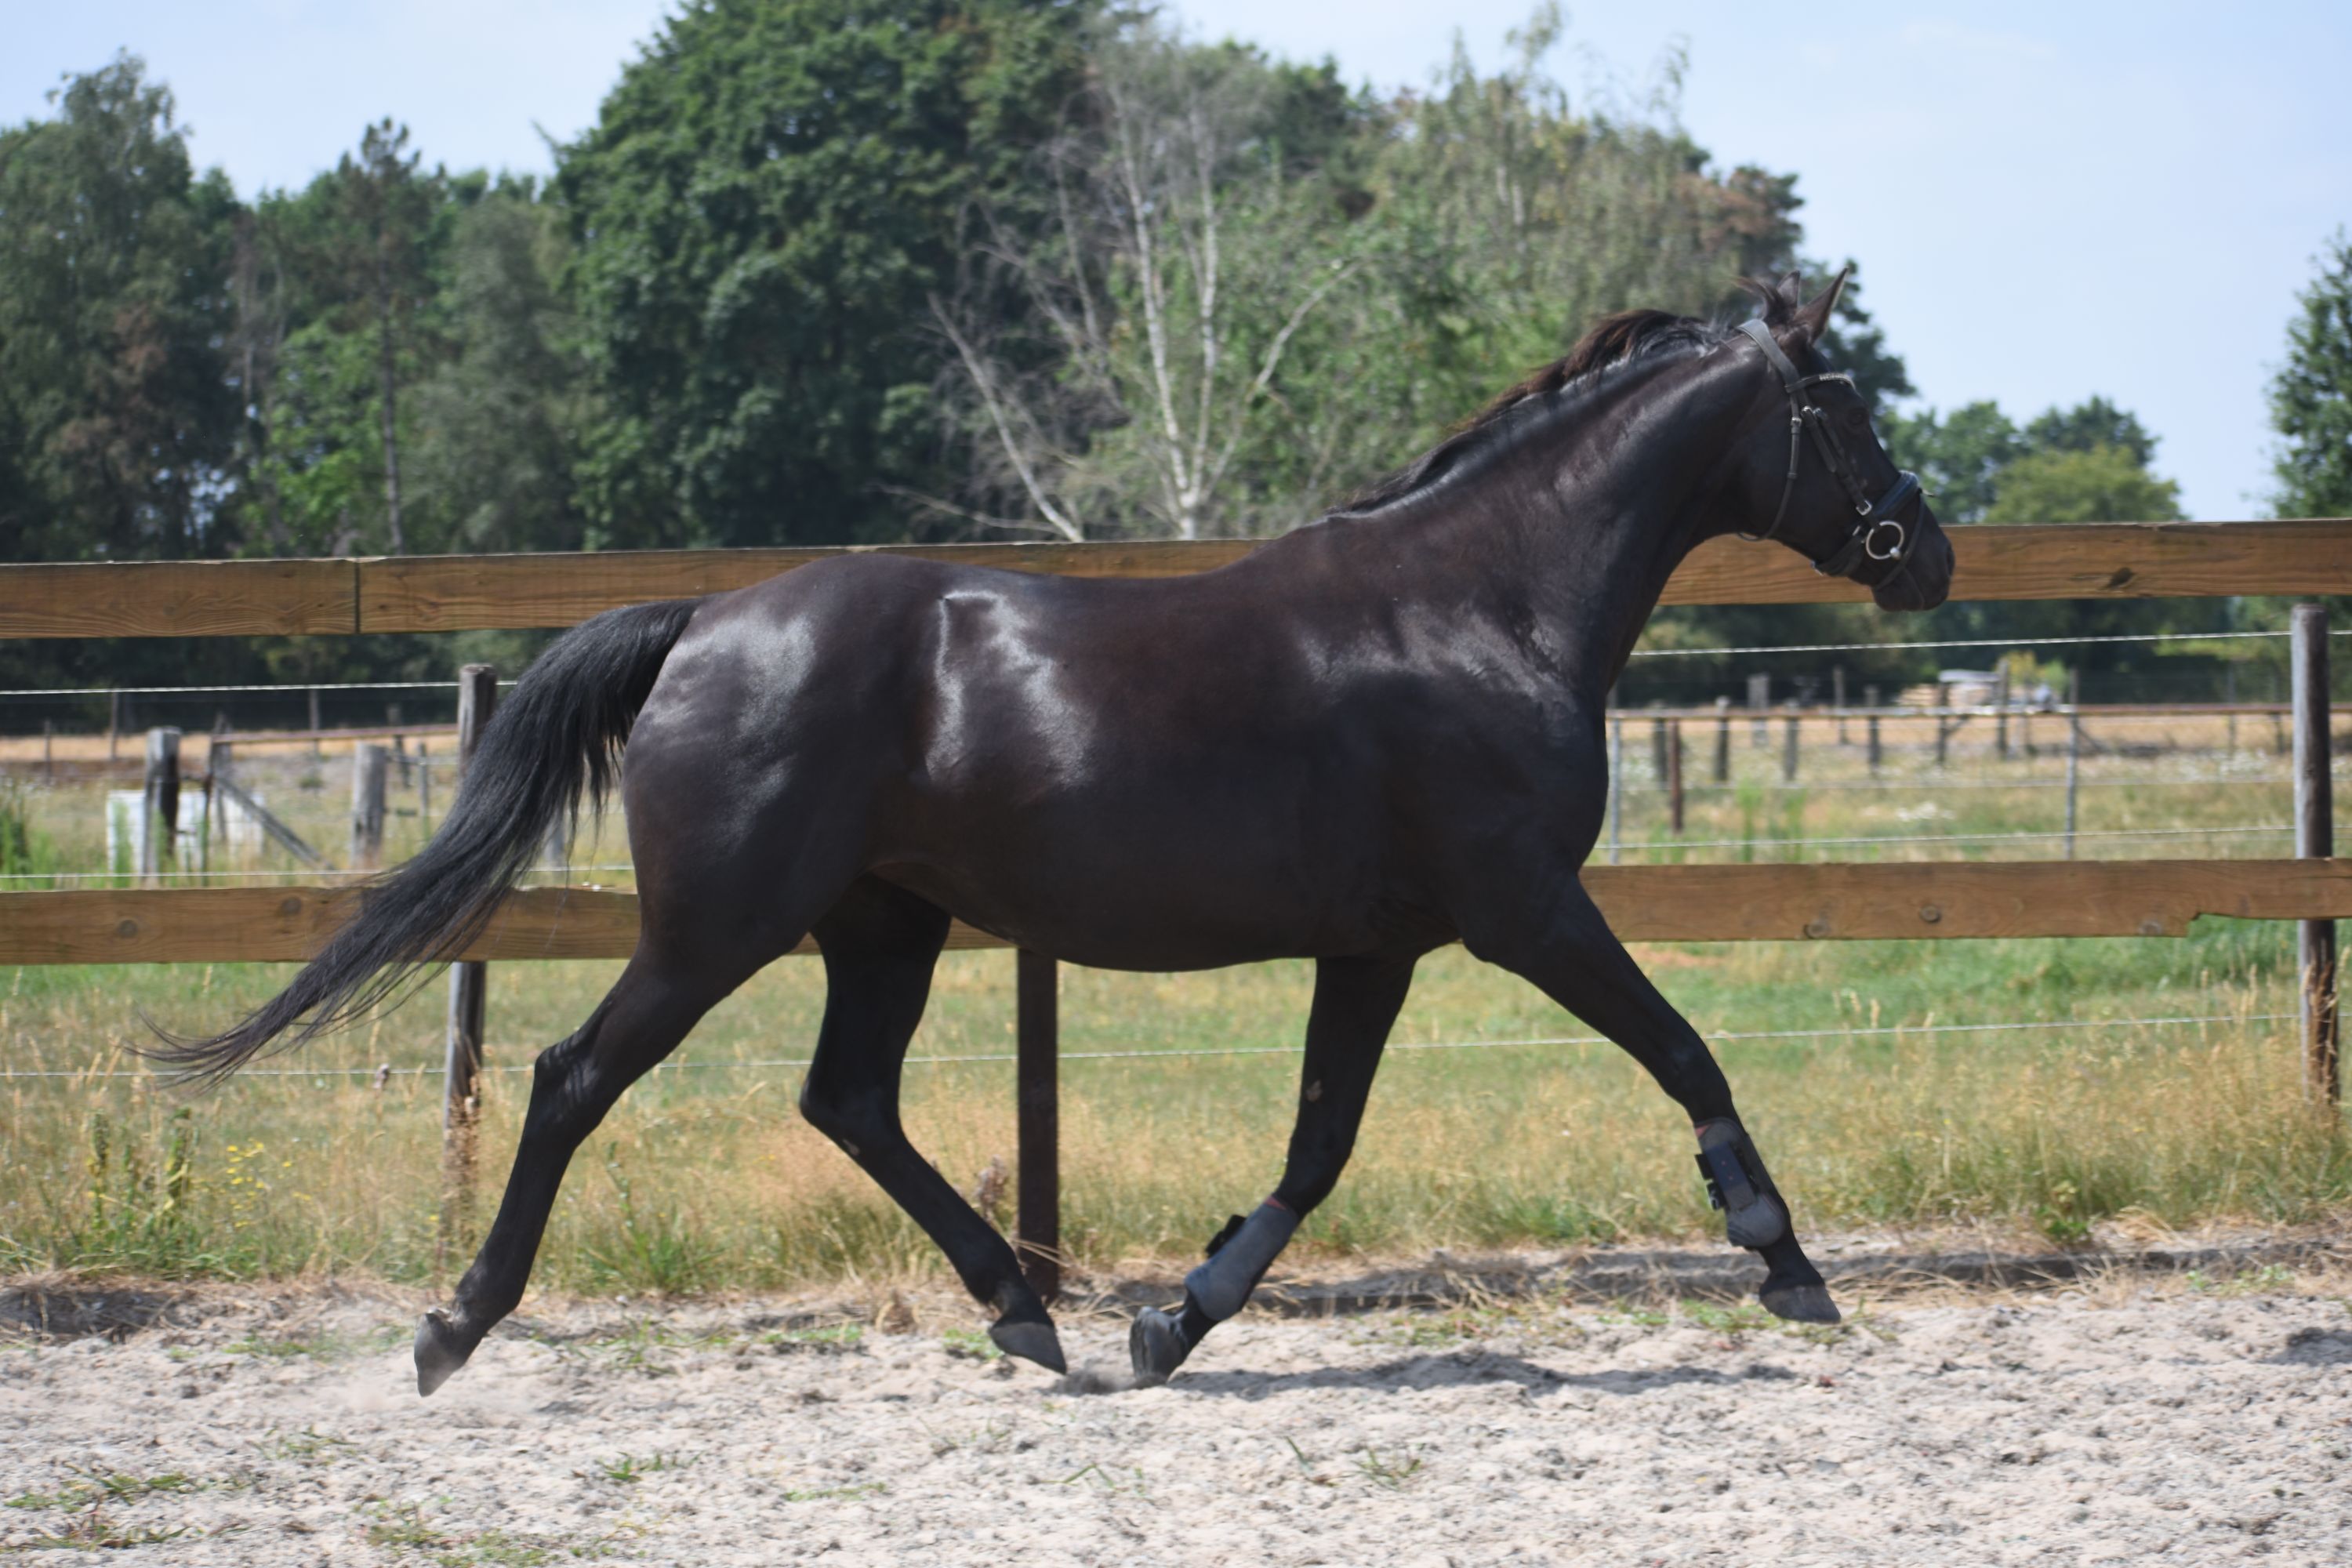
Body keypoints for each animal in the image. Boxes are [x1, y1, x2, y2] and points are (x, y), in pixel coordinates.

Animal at [160, 269, 1951, 1394]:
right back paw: (450, 1332)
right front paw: (1789, 1266)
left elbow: (1319, 1144)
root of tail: (705, 626)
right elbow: (1687, 1052)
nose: (1923, 552)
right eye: (1848, 402)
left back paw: (1026, 1312)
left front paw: (1175, 1321)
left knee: (847, 1101)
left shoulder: (1379, 943)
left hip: (882, 923)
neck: (1478, 610)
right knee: (572, 1080)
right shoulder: (1524, 909)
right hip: (720, 926)